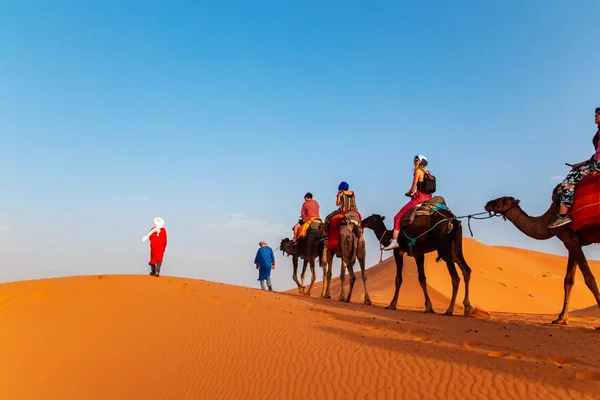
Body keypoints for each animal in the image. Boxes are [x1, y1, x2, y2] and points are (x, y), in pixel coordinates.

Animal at [482, 192, 600, 326]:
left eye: (502, 200)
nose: (488, 204)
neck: (547, 220)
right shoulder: (572, 242)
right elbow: (569, 281)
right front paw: (561, 319)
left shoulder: (569, 239)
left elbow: (589, 279)